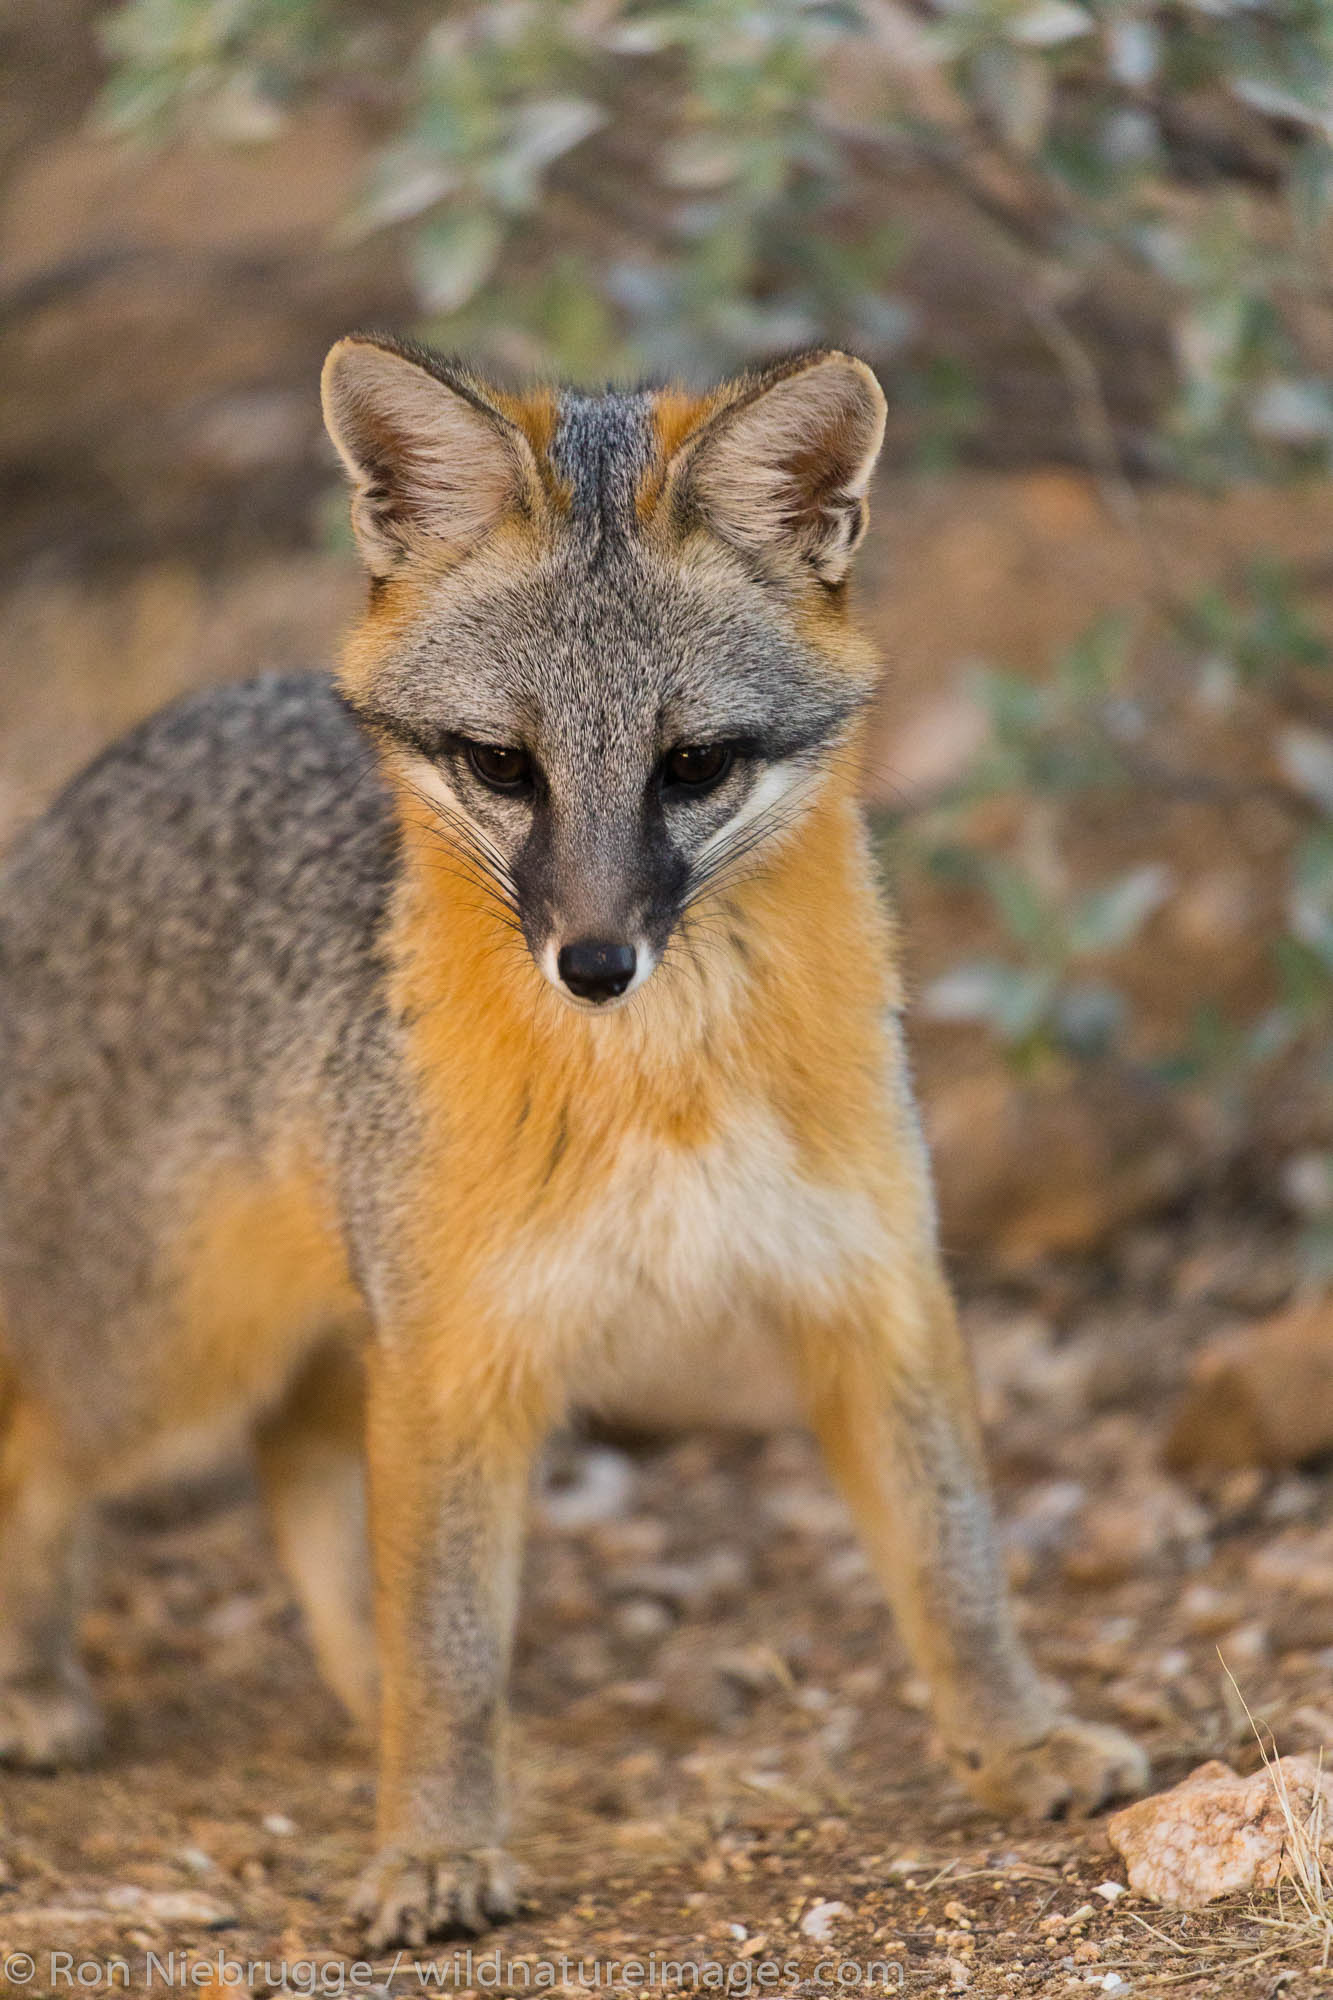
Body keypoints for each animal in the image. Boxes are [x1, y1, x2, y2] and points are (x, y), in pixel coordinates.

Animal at [0, 336, 1144, 1944]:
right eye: (501, 763)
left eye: (693, 764)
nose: (595, 962)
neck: (662, 1082)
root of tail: (89, 783)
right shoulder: (461, 1348)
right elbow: (452, 1645)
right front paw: (432, 1848)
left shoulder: (871, 1291)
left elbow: (956, 1558)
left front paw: (1018, 1739)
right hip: (169, 1357)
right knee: (44, 1449)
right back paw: (39, 1683)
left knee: (296, 1466)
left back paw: (362, 1703)